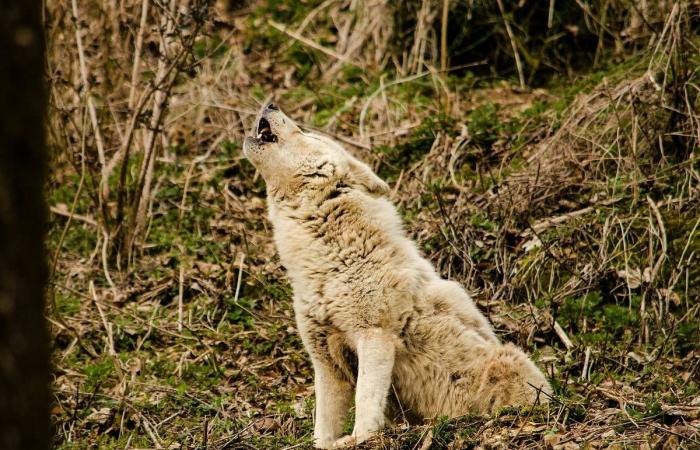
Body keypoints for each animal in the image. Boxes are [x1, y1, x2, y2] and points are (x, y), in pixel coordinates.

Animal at [243, 103, 548, 448]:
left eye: (308, 134)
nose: (271, 104)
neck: (328, 258)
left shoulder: (375, 336)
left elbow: (365, 400)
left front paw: (361, 438)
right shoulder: (325, 360)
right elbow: (323, 425)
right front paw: (329, 442)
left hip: (508, 360)